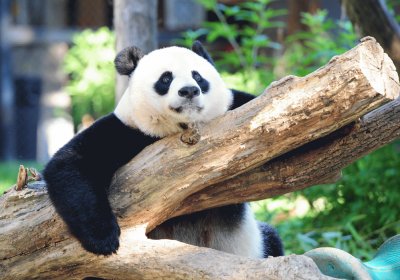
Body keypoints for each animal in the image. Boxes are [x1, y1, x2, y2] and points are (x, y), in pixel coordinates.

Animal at [43, 41, 282, 258]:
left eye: (198, 77)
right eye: (166, 79)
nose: (189, 91)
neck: (181, 128)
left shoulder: (237, 109)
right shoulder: (127, 130)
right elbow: (70, 163)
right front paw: (103, 239)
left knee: (273, 238)